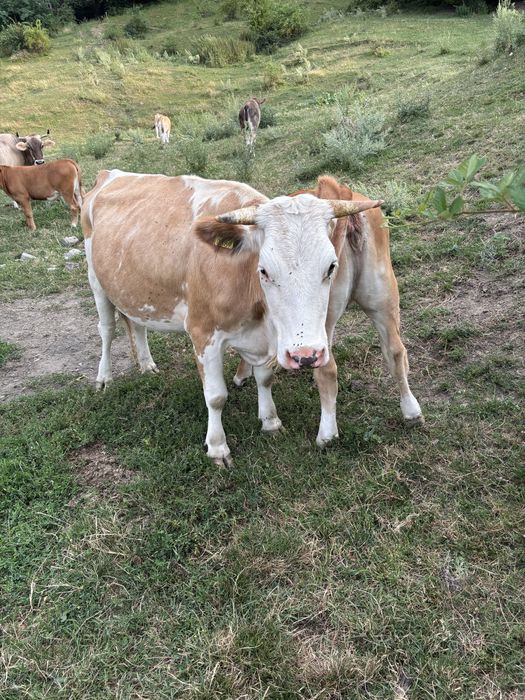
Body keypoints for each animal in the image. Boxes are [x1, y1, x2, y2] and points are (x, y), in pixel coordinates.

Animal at [82, 170, 383, 465]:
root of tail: (109, 174)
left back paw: (146, 365)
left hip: (133, 290)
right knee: (107, 329)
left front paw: (270, 421)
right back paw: (104, 378)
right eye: (264, 270)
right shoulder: (203, 334)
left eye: (331, 267)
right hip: (96, 281)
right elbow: (216, 396)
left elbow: (265, 378)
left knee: (136, 324)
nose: (306, 355)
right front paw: (217, 447)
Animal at [234, 175, 424, 447]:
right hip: (384, 298)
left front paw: (242, 374)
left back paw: (327, 433)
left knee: (326, 369)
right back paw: (411, 411)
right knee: (396, 351)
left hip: (320, 323)